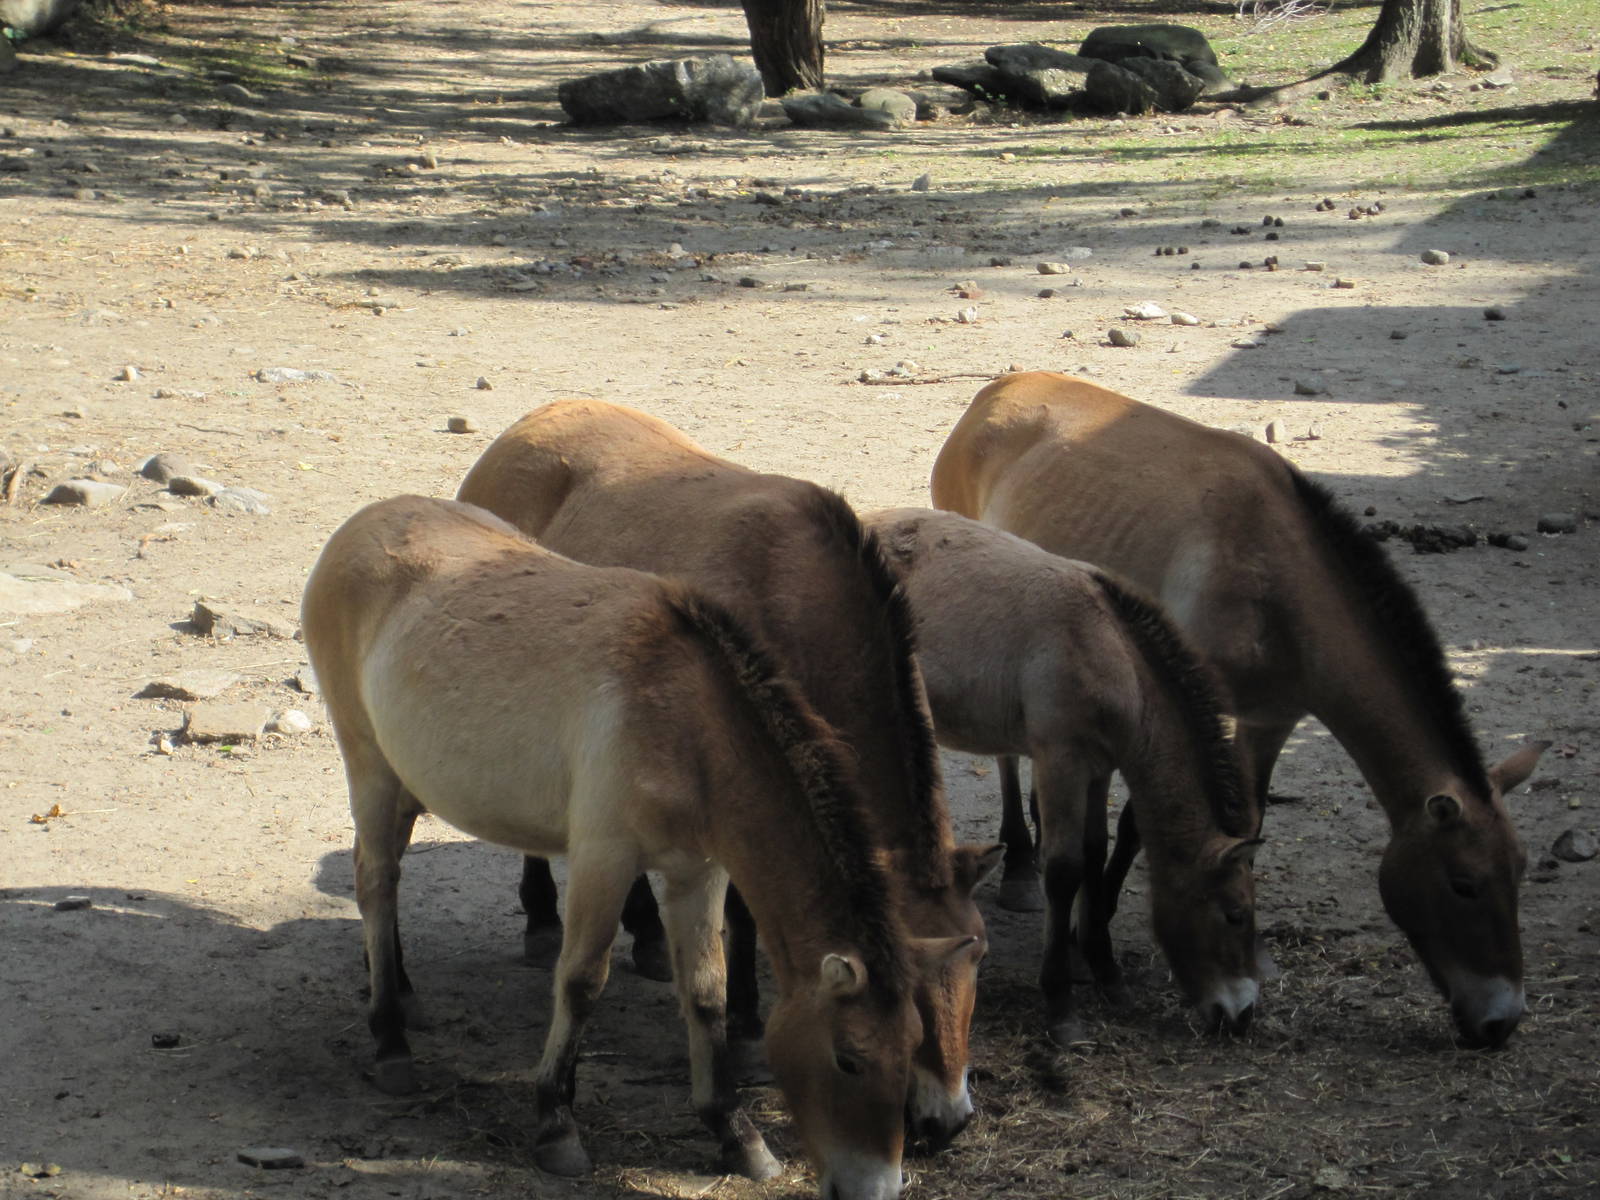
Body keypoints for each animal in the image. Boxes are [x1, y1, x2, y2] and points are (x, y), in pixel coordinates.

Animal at [302, 495, 976, 1199]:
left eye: (913, 1044)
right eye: (848, 1059)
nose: (882, 1184)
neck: (688, 721)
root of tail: (365, 523)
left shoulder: (698, 873)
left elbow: (706, 990)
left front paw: (735, 1131)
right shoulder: (606, 857)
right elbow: (581, 981)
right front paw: (556, 1125)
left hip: (406, 781)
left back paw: (402, 993)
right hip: (369, 769)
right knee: (376, 883)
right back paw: (390, 1040)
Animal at [457, 400, 1001, 1147]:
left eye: (978, 954)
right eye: (911, 971)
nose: (947, 1119)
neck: (795, 600)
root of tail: (526, 428)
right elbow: (743, 912)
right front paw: (742, 1018)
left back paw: (646, 934)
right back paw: (542, 918)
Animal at [866, 507, 1261, 1045]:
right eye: (1234, 914)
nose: (1242, 1015)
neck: (1108, 651)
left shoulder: (1098, 768)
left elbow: (1094, 855)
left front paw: (1107, 973)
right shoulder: (1061, 761)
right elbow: (1064, 869)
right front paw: (1061, 1004)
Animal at [931, 371, 1549, 1048]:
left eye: (1519, 872)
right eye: (1464, 884)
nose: (1500, 1022)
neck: (1273, 576)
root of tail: (998, 390)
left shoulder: (1269, 720)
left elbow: (1247, 817)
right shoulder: (1189, 706)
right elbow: (1139, 826)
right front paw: (1094, 936)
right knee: (1007, 759)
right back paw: (1019, 863)